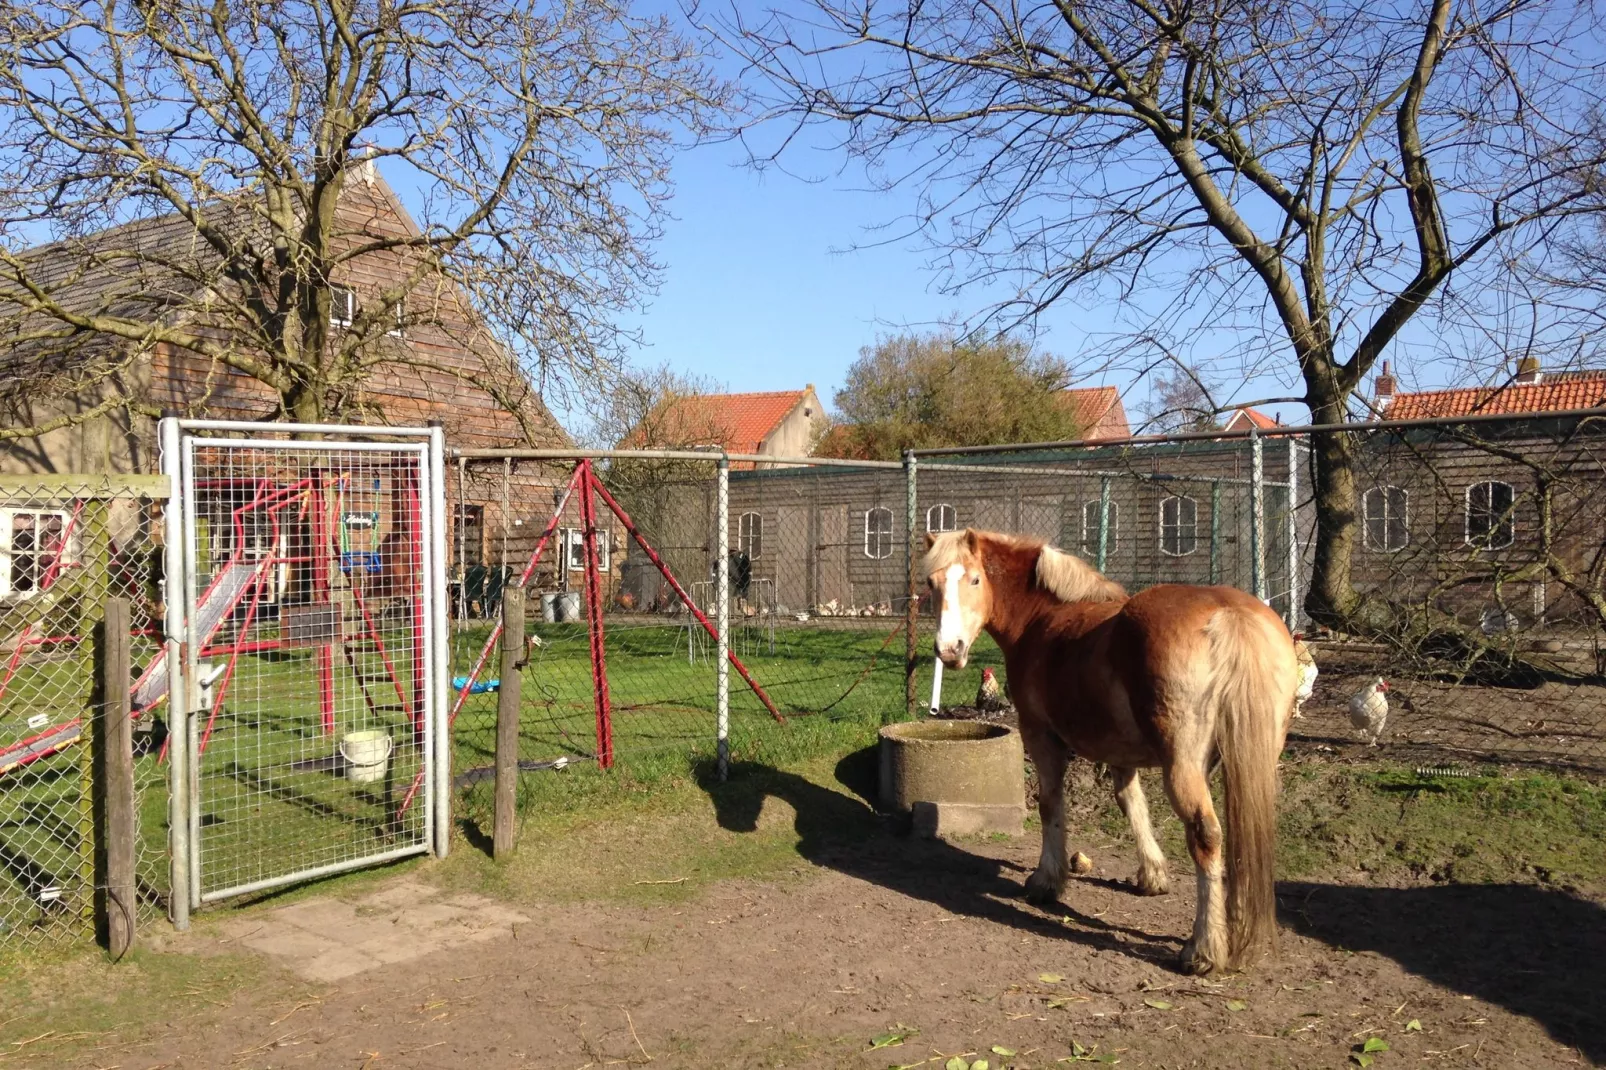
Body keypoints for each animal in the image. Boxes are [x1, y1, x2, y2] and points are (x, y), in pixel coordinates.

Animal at [925, 530, 1297, 970]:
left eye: (975, 579)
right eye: (931, 583)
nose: (949, 650)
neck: (1044, 617)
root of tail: (1228, 614)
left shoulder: (1039, 736)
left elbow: (1051, 805)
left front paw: (1046, 881)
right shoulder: (1122, 756)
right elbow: (1133, 804)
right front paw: (1153, 876)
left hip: (1182, 766)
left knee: (1206, 835)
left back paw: (1203, 949)